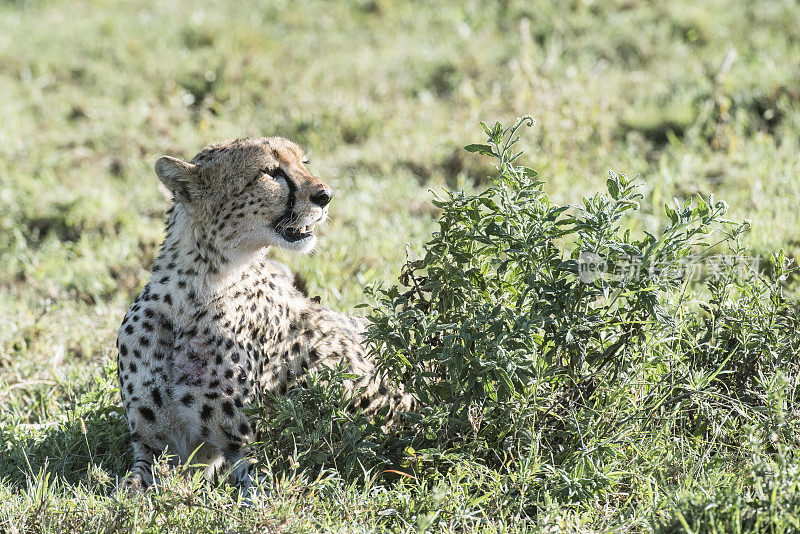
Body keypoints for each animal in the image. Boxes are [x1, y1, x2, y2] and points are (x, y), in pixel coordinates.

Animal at [117, 136, 412, 496]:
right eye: (271, 172)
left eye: (303, 162)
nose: (326, 195)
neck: (193, 291)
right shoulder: (152, 445)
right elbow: (127, 490)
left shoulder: (245, 453)